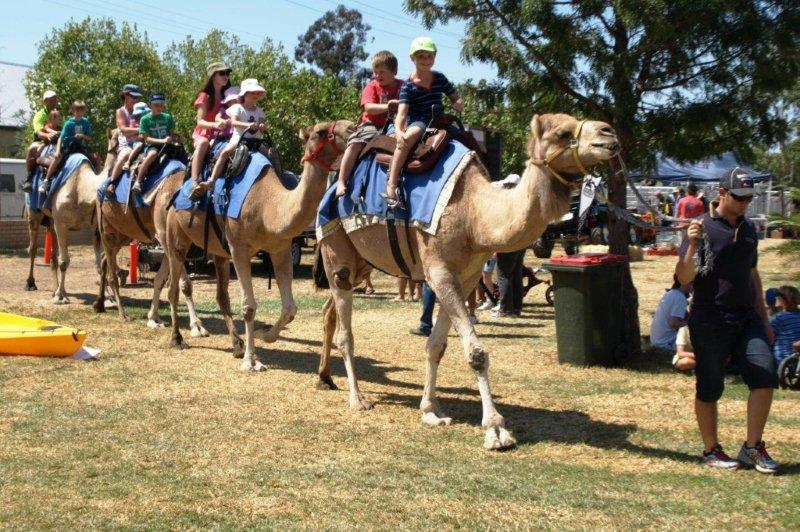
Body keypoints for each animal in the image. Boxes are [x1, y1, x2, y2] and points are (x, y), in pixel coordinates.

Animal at [94, 164, 244, 358]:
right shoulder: (167, 239)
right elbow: (183, 283)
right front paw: (194, 327)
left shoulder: (171, 244)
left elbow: (162, 280)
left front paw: (155, 317)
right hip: (108, 230)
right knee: (111, 269)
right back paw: (122, 313)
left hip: (124, 234)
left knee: (106, 259)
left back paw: (100, 304)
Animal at [164, 119, 354, 370]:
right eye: (320, 132)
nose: (353, 128)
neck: (268, 207)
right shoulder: (239, 249)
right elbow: (248, 307)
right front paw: (251, 361)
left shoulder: (280, 249)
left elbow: (290, 308)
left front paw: (265, 335)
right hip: (176, 238)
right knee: (174, 287)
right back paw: (178, 338)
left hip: (218, 250)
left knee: (221, 295)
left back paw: (236, 345)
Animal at [316, 113, 620, 448]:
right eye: (562, 133)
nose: (608, 133)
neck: (475, 214)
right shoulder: (439, 271)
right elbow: (475, 353)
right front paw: (496, 429)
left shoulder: (466, 277)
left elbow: (436, 346)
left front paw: (431, 411)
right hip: (337, 249)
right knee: (345, 328)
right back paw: (358, 399)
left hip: (363, 263)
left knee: (329, 311)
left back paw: (325, 378)